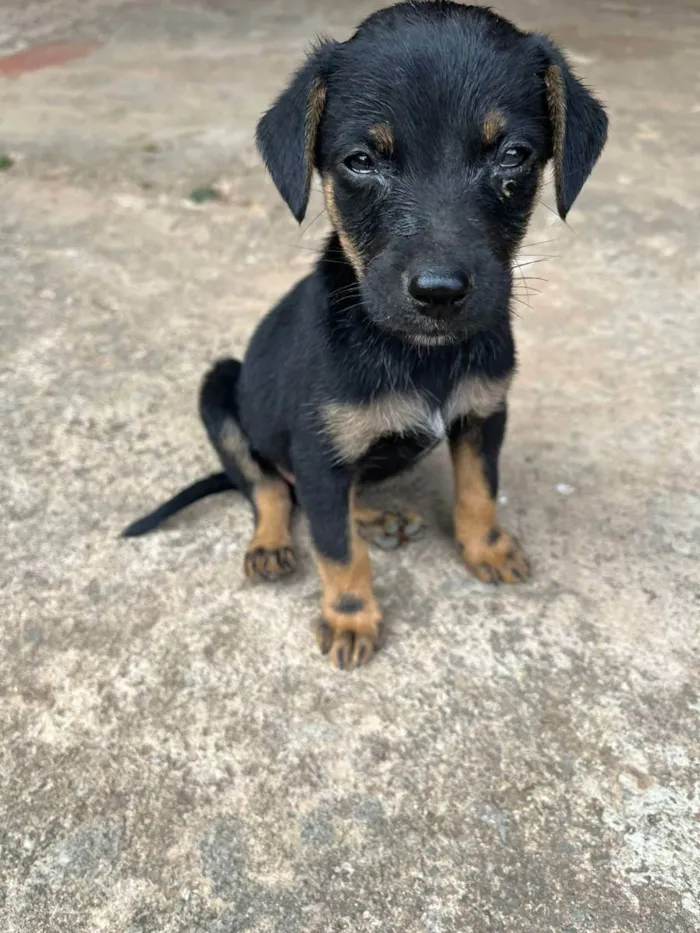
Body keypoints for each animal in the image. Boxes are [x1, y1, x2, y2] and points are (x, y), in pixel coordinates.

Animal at [126, 0, 608, 668]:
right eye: (361, 160)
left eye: (512, 155)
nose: (439, 292)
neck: (420, 355)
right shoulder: (319, 452)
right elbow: (335, 549)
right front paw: (351, 616)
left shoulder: (483, 414)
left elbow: (479, 490)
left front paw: (487, 548)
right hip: (221, 386)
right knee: (269, 488)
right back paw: (270, 544)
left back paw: (376, 517)